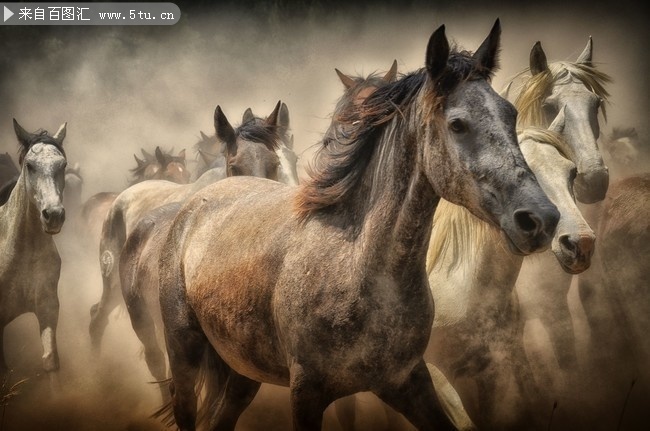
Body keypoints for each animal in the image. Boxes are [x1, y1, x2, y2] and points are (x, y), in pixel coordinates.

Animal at [156, 21, 556, 431]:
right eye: (458, 124)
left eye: (510, 114)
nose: (540, 219)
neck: (356, 265)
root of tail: (195, 205)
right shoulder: (307, 392)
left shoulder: (407, 381)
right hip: (184, 351)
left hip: (243, 372)